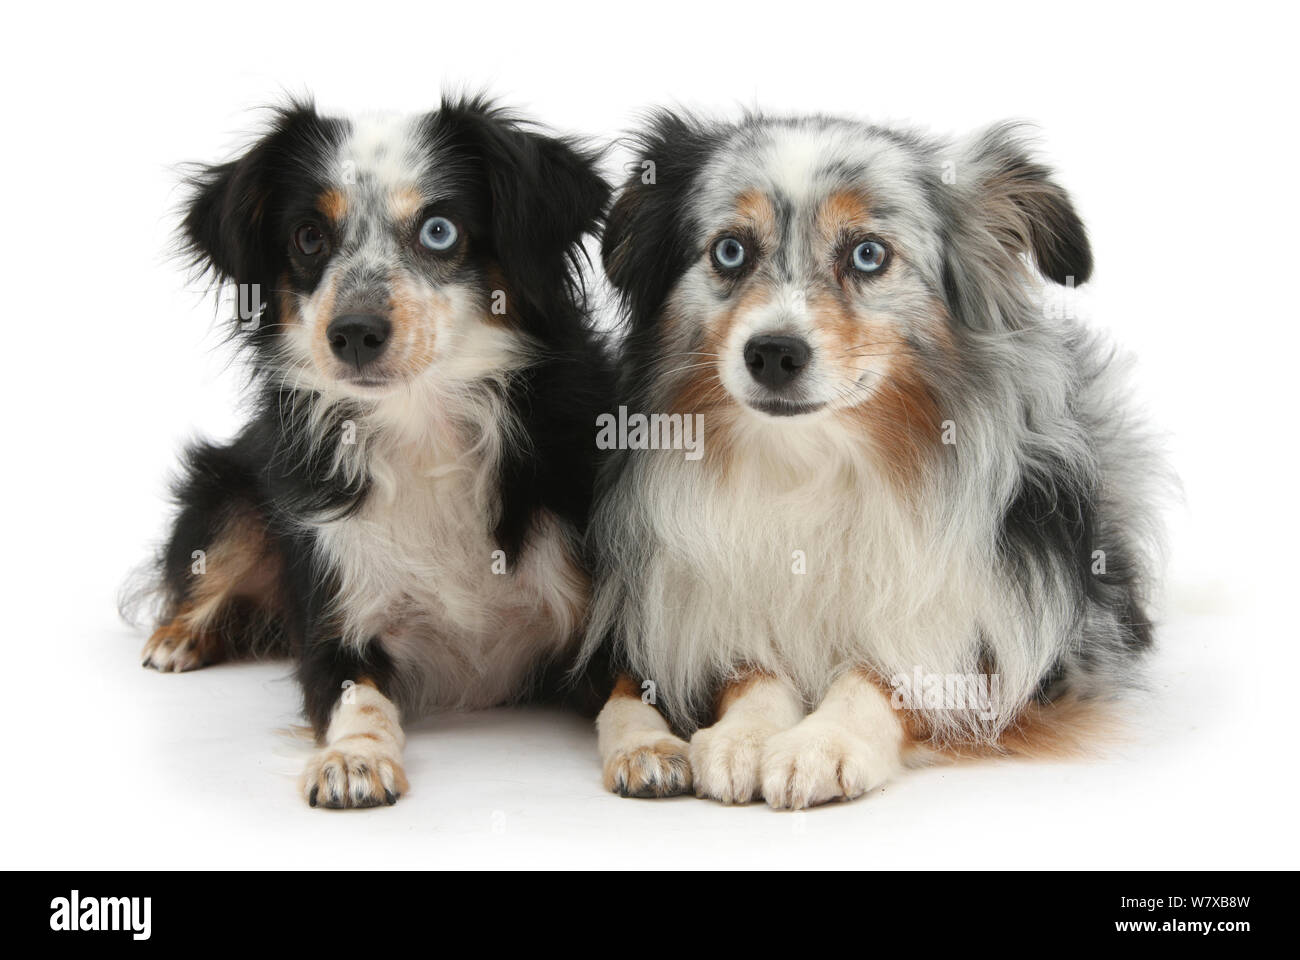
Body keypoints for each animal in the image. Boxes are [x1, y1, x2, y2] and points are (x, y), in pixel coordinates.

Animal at [137, 97, 613, 806]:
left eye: (439, 230)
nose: (354, 333)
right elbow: (354, 698)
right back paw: (178, 637)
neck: (423, 428)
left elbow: (634, 690)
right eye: (308, 237)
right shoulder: (336, 616)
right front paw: (353, 760)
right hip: (230, 490)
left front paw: (653, 749)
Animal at [585, 111, 1164, 806]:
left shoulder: (1032, 648)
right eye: (730, 250)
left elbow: (893, 674)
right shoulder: (700, 605)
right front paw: (744, 734)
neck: (815, 465)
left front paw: (819, 743)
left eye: (868, 254)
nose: (773, 352)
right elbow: (748, 664)